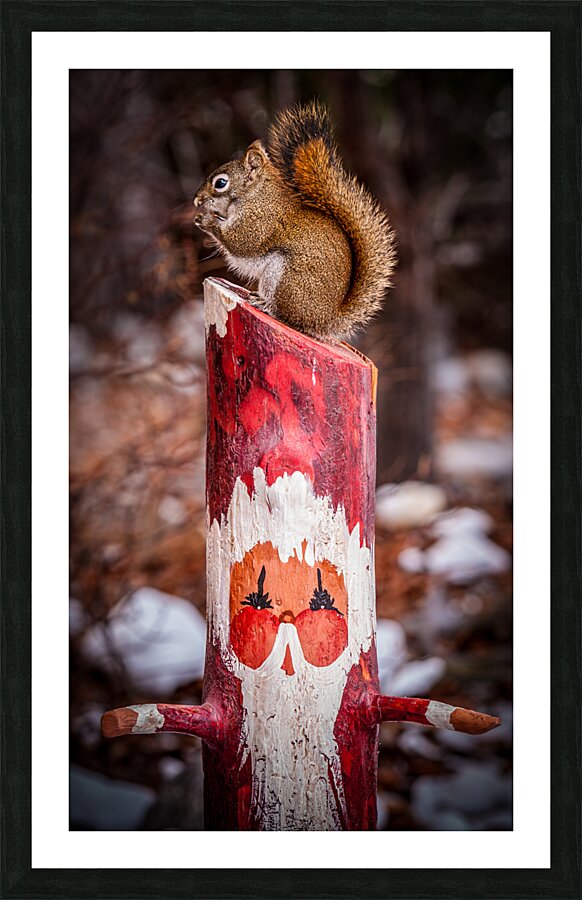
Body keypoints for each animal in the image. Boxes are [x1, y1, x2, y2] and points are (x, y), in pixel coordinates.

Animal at [194, 101, 396, 340]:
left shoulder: (261, 220)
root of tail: (325, 320)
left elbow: (242, 241)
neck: (257, 194)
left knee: (289, 318)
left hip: (286, 280)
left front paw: (207, 221)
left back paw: (266, 305)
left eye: (220, 183)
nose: (196, 201)